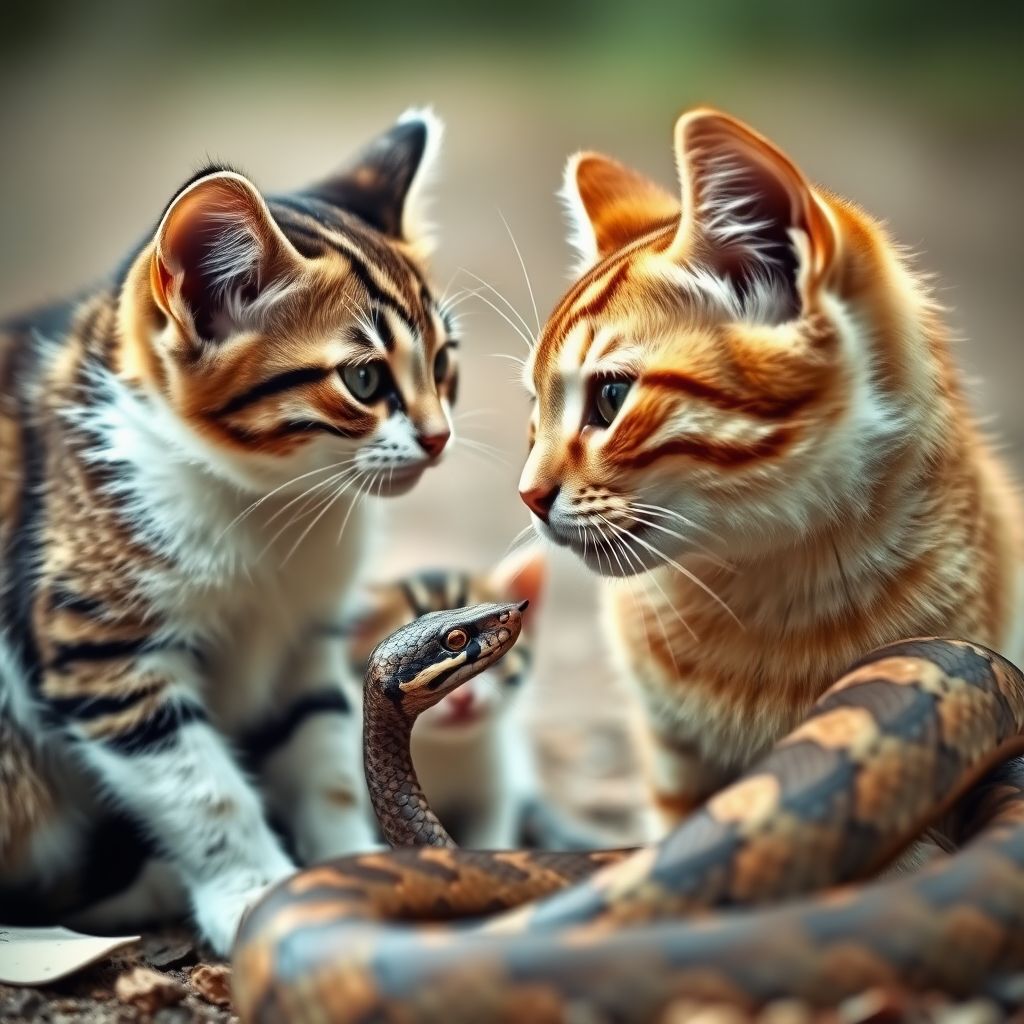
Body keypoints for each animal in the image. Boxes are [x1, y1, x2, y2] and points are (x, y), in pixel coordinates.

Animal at [0, 112, 458, 950]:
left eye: (444, 365)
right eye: (366, 380)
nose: (439, 438)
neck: (277, 509)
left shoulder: (307, 645)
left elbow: (327, 759)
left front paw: (346, 866)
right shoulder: (97, 650)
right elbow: (202, 787)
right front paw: (251, 889)